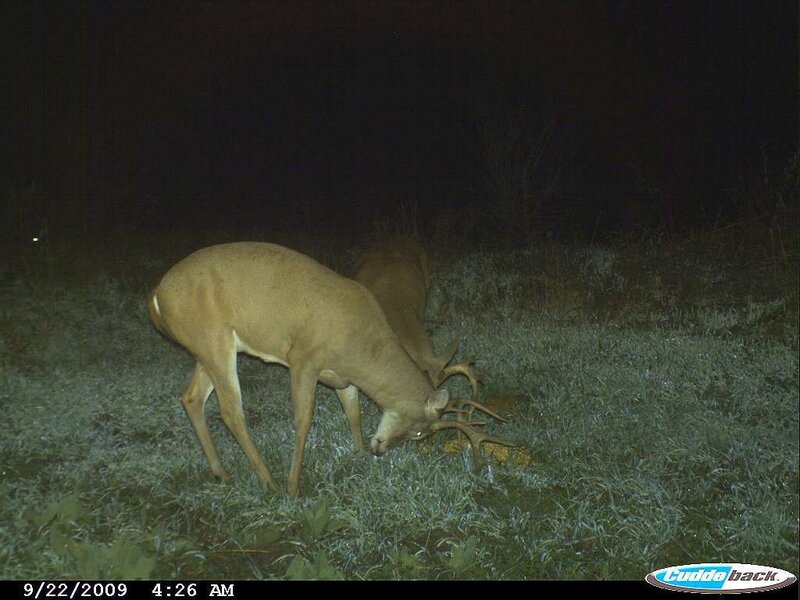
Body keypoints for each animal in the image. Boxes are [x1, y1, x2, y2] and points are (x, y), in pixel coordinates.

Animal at [148, 242, 511, 496]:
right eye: (421, 433)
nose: (381, 449)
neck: (360, 346)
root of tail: (156, 297)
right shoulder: (303, 358)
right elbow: (304, 419)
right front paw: (294, 485)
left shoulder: (343, 379)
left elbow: (354, 413)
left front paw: (360, 453)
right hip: (214, 341)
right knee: (230, 410)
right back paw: (270, 482)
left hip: (205, 348)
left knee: (191, 398)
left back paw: (221, 473)